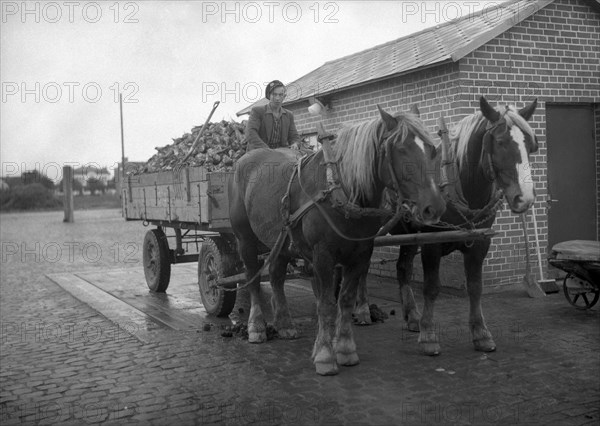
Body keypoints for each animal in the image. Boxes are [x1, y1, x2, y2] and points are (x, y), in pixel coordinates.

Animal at [230, 106, 446, 376]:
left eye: (432, 149)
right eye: (400, 149)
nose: (433, 208)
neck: (342, 191)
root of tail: (245, 159)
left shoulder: (360, 254)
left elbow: (345, 301)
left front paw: (344, 348)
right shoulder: (323, 256)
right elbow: (326, 304)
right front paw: (324, 355)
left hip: (280, 241)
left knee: (277, 277)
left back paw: (284, 323)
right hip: (245, 240)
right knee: (253, 278)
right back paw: (257, 326)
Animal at [394, 96, 540, 356]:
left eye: (531, 145)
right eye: (500, 142)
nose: (525, 199)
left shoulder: (480, 243)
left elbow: (475, 286)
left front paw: (481, 333)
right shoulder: (432, 244)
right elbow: (431, 287)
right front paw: (429, 334)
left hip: (409, 236)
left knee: (402, 269)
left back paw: (411, 316)